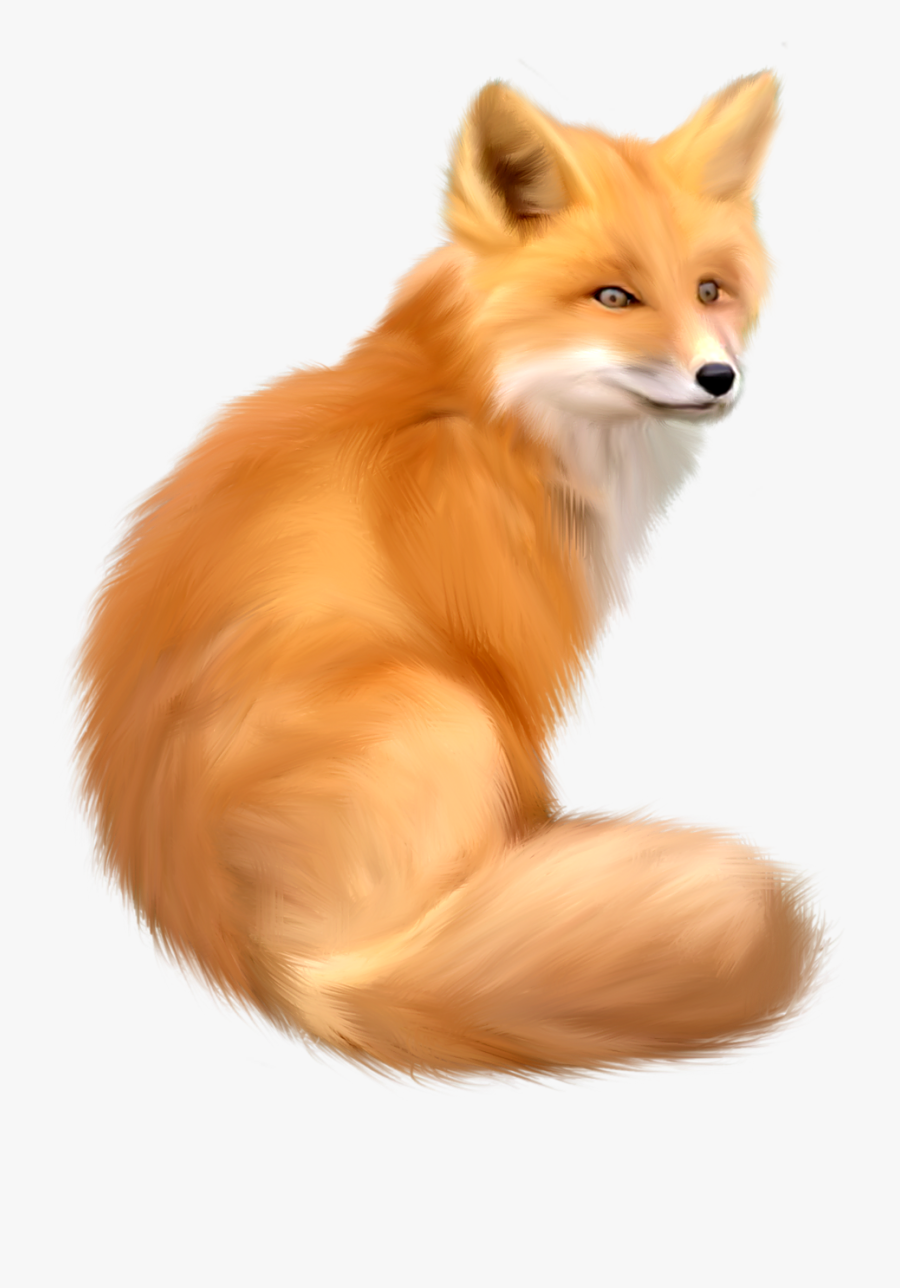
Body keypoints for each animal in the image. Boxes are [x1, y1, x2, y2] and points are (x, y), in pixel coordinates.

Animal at [78, 73, 822, 1077]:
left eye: (712, 290)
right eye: (614, 296)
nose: (719, 377)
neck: (484, 405)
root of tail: (278, 974)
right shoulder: (508, 654)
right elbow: (531, 782)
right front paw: (548, 856)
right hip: (444, 706)